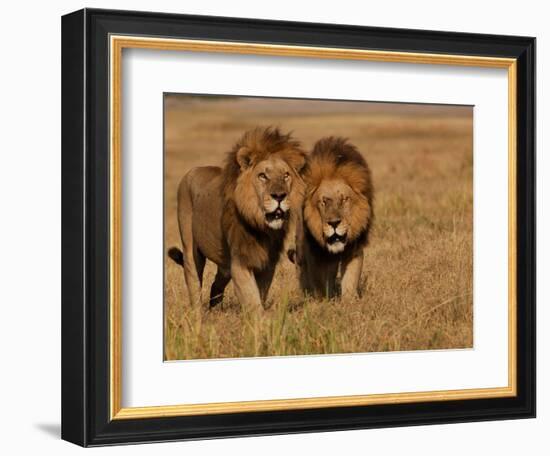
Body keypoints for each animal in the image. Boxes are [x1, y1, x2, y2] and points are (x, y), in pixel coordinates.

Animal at [169, 125, 306, 310]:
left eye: (286, 175)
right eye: (263, 175)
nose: (279, 196)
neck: (261, 226)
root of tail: (193, 170)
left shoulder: (267, 263)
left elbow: (260, 295)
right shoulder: (240, 262)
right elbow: (252, 300)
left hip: (224, 263)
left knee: (216, 285)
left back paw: (215, 311)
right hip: (191, 249)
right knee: (194, 283)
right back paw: (198, 313)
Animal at [288, 135, 376, 300]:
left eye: (344, 199)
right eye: (323, 201)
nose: (334, 223)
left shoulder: (354, 247)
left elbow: (351, 278)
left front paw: (349, 301)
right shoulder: (314, 250)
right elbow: (318, 280)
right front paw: (322, 300)